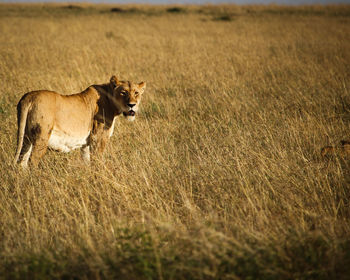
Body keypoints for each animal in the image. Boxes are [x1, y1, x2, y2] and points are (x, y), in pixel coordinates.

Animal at [14, 75, 146, 167]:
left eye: (136, 93)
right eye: (123, 92)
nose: (132, 105)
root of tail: (28, 97)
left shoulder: (87, 143)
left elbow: (87, 161)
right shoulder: (99, 138)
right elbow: (97, 161)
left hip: (26, 138)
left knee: (22, 161)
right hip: (42, 137)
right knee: (32, 161)